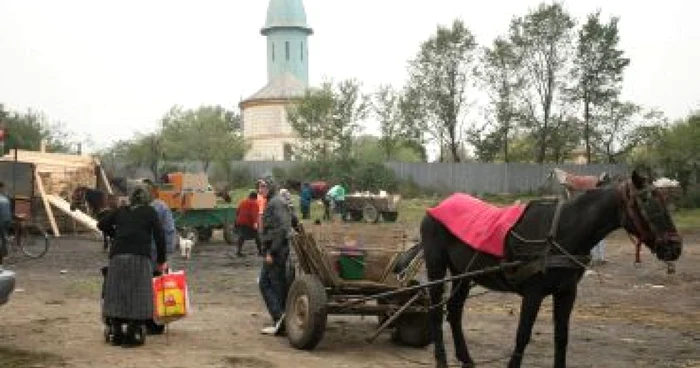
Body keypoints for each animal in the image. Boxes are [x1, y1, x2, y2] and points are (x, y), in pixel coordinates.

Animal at [404, 170, 684, 368]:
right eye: (648, 203)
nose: (675, 247)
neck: (562, 231)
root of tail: (435, 208)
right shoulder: (533, 293)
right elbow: (522, 336)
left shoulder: (566, 292)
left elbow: (561, 338)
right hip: (437, 266)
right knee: (436, 310)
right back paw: (441, 359)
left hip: (464, 274)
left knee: (454, 311)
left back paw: (465, 358)